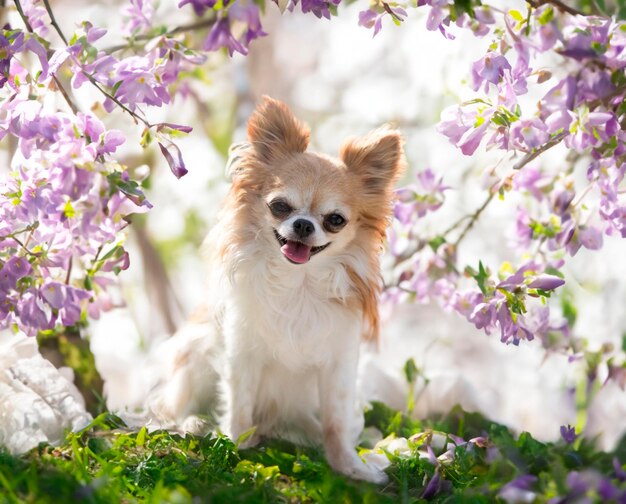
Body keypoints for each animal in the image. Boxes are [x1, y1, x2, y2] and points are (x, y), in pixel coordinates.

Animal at [147, 96, 402, 482]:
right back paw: (193, 423)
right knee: (175, 407)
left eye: (335, 220)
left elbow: (337, 422)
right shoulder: (242, 353)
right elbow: (239, 405)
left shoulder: (338, 365)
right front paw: (235, 446)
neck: (298, 282)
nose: (303, 224)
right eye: (279, 206)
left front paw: (349, 466)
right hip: (196, 351)